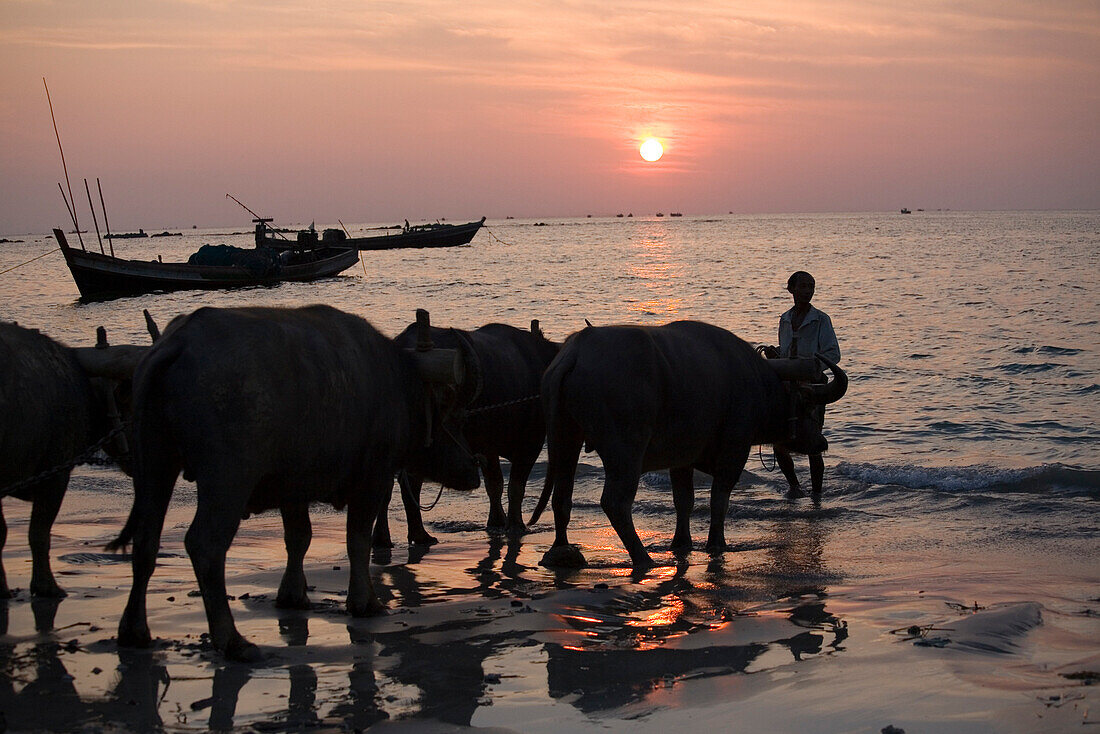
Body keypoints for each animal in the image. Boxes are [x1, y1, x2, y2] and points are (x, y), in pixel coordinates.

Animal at [107, 303, 481, 660]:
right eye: (455, 419)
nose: (473, 470)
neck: (396, 382)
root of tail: (178, 343)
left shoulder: (293, 489)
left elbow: (299, 538)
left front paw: (292, 595)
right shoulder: (372, 478)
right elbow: (357, 541)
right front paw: (365, 602)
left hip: (154, 463)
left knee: (145, 541)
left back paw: (134, 631)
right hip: (227, 479)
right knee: (205, 545)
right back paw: (233, 641)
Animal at [378, 319, 563, 543]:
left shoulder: (489, 448)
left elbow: (495, 485)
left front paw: (497, 521)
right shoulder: (526, 444)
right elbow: (512, 486)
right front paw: (514, 524)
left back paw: (396, 536)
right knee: (406, 483)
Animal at [528, 321, 844, 567]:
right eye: (807, 406)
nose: (821, 442)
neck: (759, 384)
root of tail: (575, 352)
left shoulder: (681, 459)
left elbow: (684, 501)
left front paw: (681, 543)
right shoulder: (734, 450)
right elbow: (718, 499)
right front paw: (716, 543)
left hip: (564, 437)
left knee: (561, 496)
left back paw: (561, 551)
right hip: (625, 451)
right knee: (615, 502)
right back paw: (643, 558)